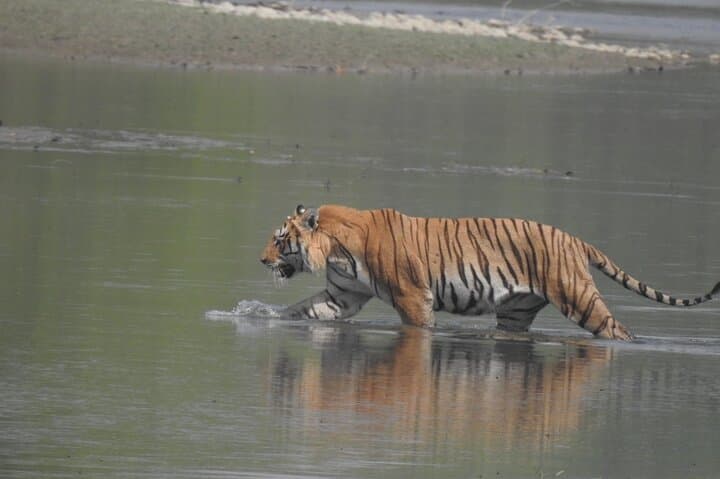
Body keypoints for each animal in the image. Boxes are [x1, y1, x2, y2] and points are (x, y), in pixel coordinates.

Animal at [260, 204, 720, 340]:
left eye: (280, 240)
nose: (262, 261)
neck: (333, 250)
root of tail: (574, 239)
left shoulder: (412, 296)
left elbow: (419, 328)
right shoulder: (343, 295)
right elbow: (304, 310)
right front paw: (265, 318)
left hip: (578, 298)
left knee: (616, 330)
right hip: (515, 311)